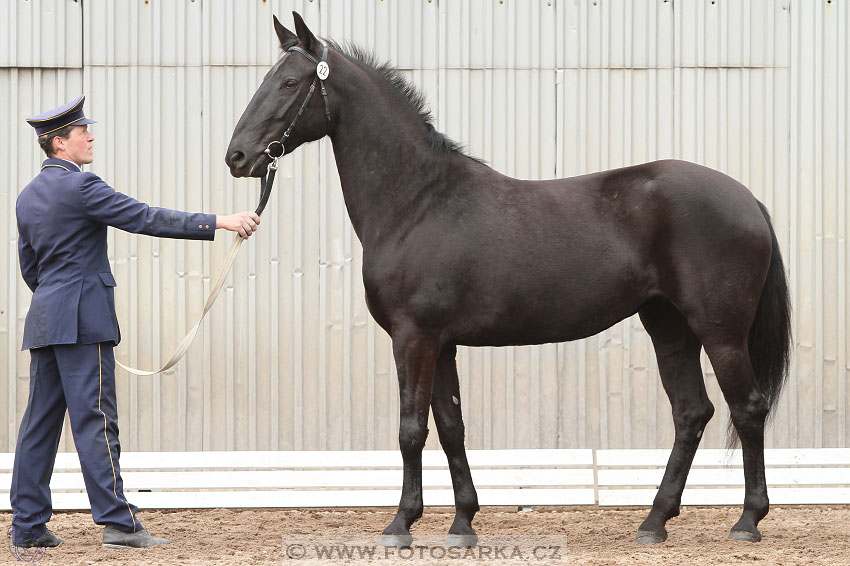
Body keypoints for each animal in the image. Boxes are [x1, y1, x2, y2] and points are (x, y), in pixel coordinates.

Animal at [224, 12, 788, 544]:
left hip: (719, 332)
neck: (417, 202)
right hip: (668, 327)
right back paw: (654, 522)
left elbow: (411, 429)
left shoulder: (414, 338)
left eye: (289, 82)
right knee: (691, 413)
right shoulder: (441, 344)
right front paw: (462, 524)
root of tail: (748, 200)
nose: (237, 157)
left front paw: (401, 524)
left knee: (747, 408)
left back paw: (747, 521)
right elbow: (450, 427)